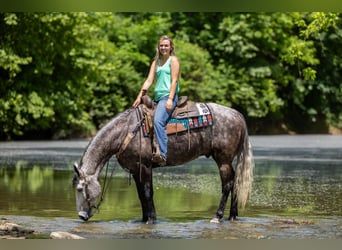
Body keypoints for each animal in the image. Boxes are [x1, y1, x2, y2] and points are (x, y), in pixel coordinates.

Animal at [73, 101, 254, 225]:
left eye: (80, 189)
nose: (81, 216)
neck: (126, 131)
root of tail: (236, 114)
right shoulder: (136, 170)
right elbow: (141, 195)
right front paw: (144, 219)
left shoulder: (145, 167)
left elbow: (147, 193)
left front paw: (151, 220)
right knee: (235, 182)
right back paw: (232, 216)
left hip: (223, 160)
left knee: (227, 185)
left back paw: (218, 216)